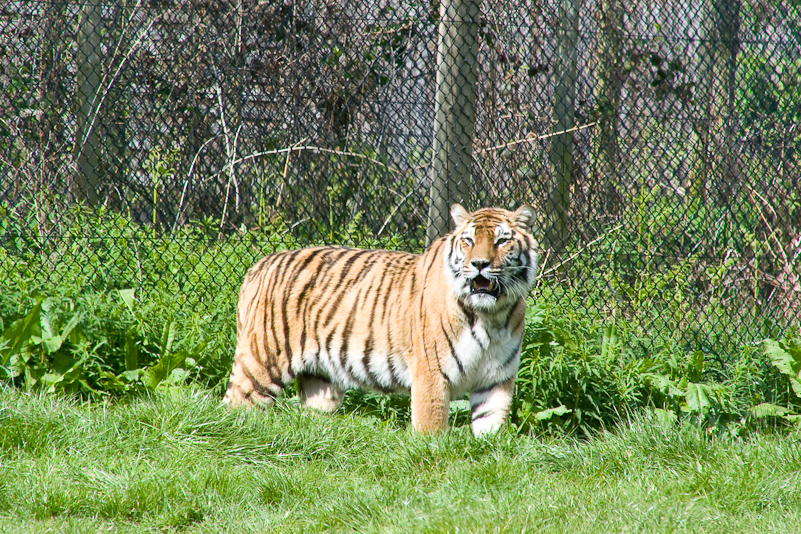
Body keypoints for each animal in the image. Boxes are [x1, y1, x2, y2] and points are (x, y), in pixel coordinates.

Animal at [222, 204, 540, 436]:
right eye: (469, 240)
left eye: (501, 240)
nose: (479, 264)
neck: (490, 315)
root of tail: (260, 264)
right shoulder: (431, 373)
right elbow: (431, 425)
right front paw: (433, 450)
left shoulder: (497, 377)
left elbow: (491, 426)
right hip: (261, 364)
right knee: (235, 404)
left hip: (320, 383)